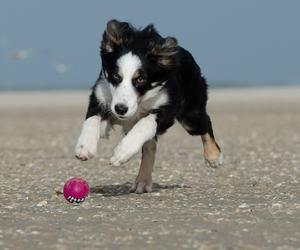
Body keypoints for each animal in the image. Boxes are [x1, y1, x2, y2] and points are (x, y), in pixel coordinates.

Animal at [74, 20, 223, 194]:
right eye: (116, 76)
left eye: (140, 79)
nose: (120, 109)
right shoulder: (101, 96)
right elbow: (92, 120)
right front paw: (84, 147)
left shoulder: (167, 108)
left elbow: (145, 123)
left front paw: (121, 152)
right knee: (150, 146)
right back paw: (143, 181)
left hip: (191, 115)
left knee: (205, 123)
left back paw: (214, 157)